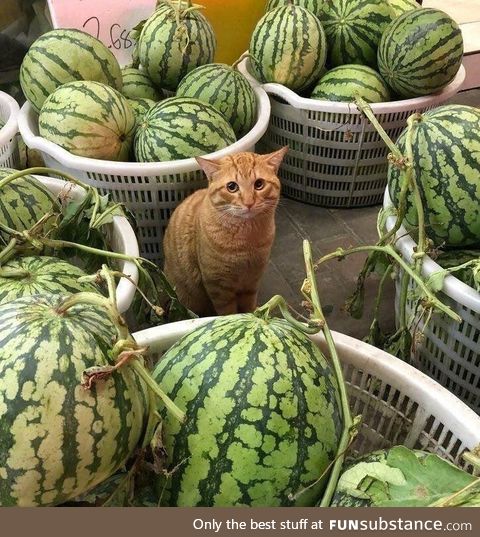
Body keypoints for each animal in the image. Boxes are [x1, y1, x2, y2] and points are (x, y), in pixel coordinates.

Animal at [163, 147, 286, 316]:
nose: (249, 203)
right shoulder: (219, 286)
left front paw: (254, 314)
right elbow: (228, 312)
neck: (246, 238)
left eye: (259, 184)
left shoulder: (252, 281)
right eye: (232, 187)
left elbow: (249, 305)